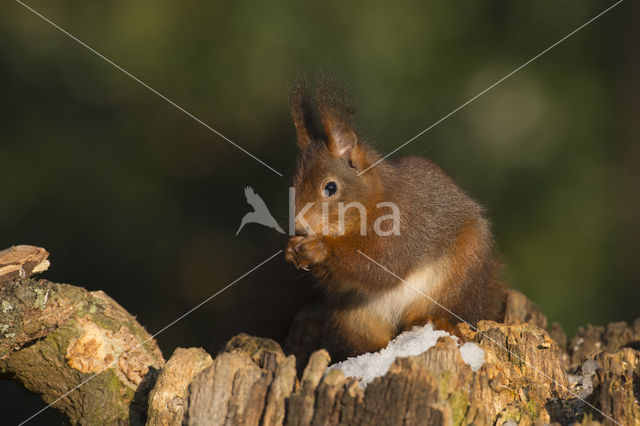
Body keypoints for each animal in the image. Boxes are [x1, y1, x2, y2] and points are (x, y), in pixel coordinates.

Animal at [284, 77, 504, 360]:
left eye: (330, 188)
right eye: (293, 185)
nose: (299, 226)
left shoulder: (405, 223)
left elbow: (383, 265)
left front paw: (320, 247)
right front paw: (292, 250)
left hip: (458, 277)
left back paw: (436, 322)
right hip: (354, 317)